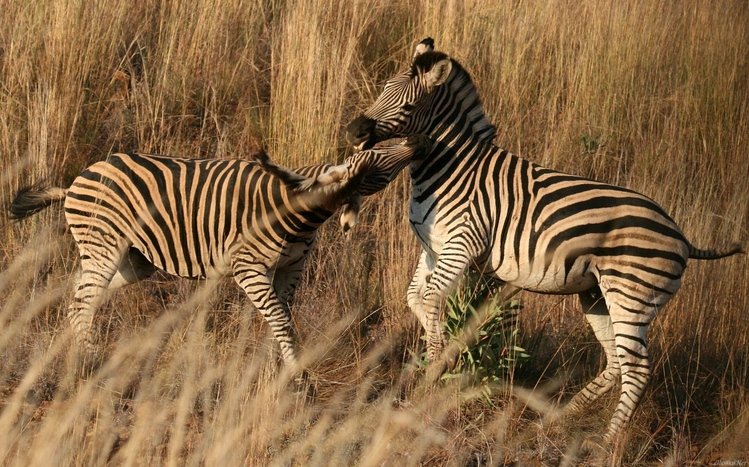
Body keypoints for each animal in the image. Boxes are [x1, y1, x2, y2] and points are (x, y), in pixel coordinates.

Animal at [9, 135, 431, 374]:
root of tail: (74, 182)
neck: (300, 212)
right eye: (375, 157)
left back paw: (76, 347)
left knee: (80, 294)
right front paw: (296, 372)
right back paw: (90, 360)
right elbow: (278, 316)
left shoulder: (291, 267)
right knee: (84, 298)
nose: (417, 141)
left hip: (133, 260)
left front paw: (277, 362)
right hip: (105, 244)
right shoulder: (249, 268)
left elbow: (283, 315)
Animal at [345, 38, 744, 444]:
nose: (354, 130)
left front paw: (434, 374)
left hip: (631, 296)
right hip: (598, 295)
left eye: (408, 106)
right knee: (616, 362)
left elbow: (429, 300)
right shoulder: (433, 249)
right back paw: (559, 418)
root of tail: (682, 235)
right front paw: (440, 362)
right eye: (382, 89)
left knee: (637, 369)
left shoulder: (462, 243)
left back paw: (605, 444)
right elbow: (416, 299)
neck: (450, 167)